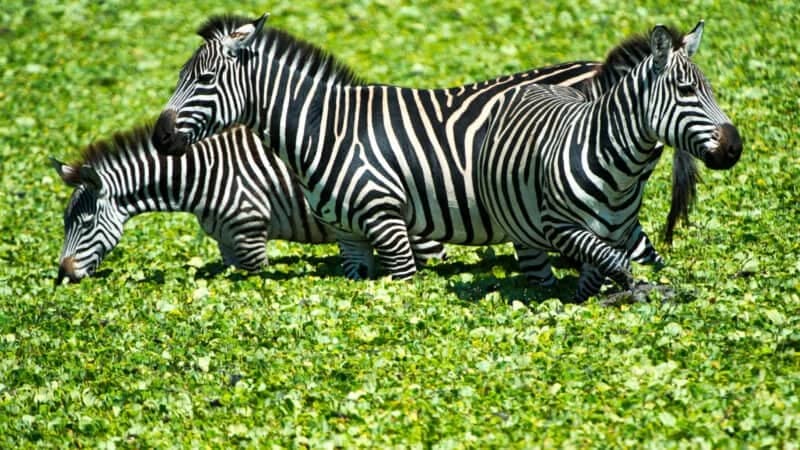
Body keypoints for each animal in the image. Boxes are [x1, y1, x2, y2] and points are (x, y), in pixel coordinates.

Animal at [53, 123, 445, 284]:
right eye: (64, 223)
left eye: (85, 224)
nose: (64, 275)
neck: (202, 175)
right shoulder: (227, 242)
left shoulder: (250, 235)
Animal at [150, 13, 694, 282]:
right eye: (177, 77)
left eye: (203, 80)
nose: (160, 138)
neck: (325, 128)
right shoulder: (351, 237)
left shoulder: (389, 222)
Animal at [476, 21, 741, 301]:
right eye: (686, 89)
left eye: (711, 90)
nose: (735, 147)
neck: (618, 177)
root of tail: (538, 85)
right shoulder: (560, 226)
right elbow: (615, 263)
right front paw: (632, 292)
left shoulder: (616, 234)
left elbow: (599, 274)